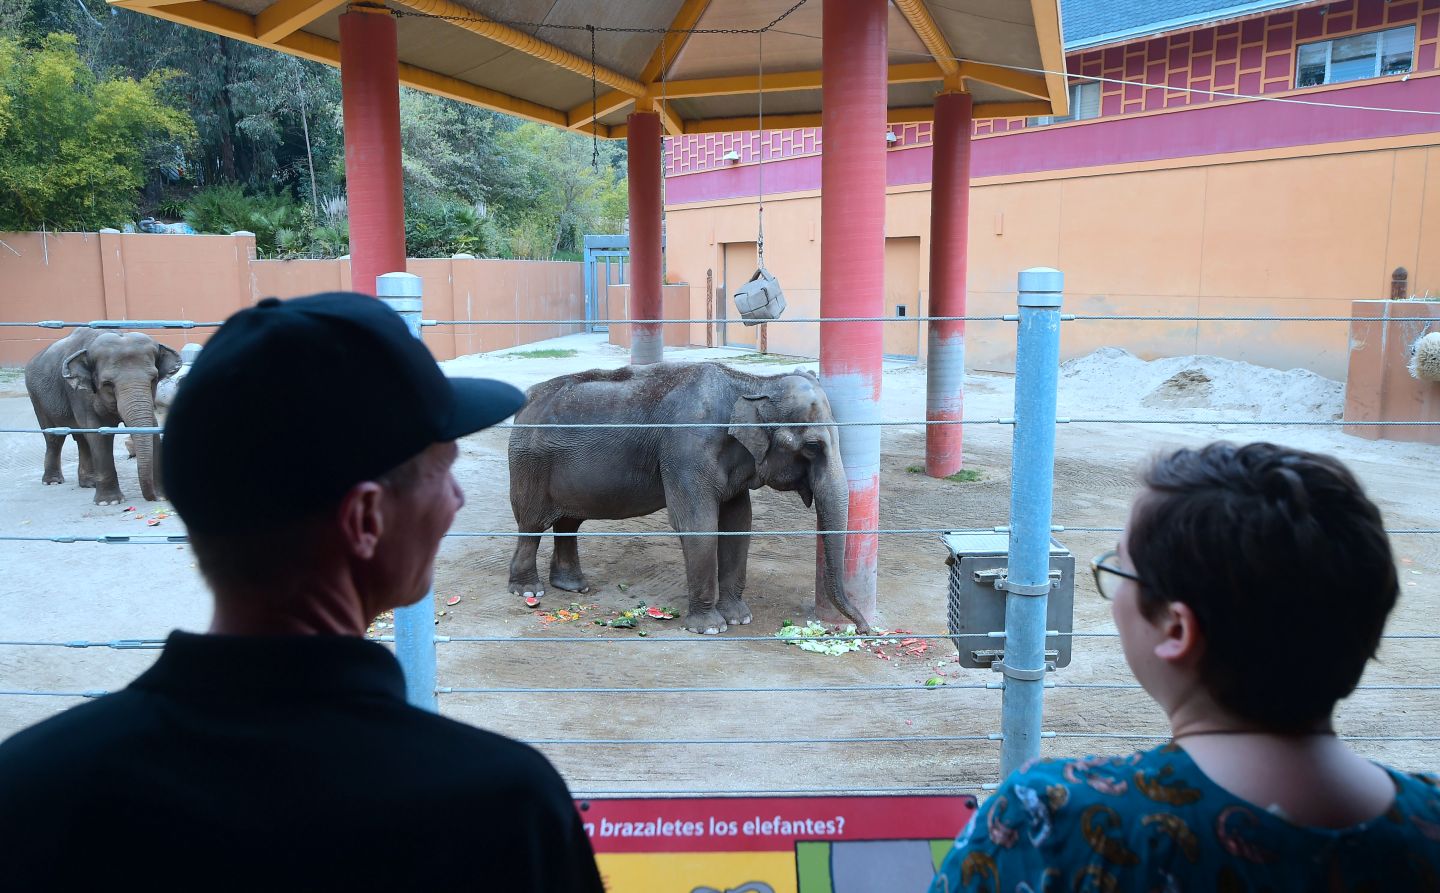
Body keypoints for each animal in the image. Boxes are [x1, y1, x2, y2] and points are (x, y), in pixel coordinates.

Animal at [25, 329, 181, 505]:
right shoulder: (80, 393)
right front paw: (109, 502)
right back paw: (52, 481)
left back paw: (89, 483)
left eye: (153, 379)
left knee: (82, 439)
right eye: (107, 384)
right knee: (54, 438)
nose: (152, 498)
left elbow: (151, 427)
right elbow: (98, 432)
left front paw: (162, 497)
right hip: (36, 397)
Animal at [507, 362, 870, 635]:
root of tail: (526, 400)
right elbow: (697, 523)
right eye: (812, 447)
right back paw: (529, 591)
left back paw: (573, 586)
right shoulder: (686, 448)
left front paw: (740, 618)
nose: (863, 630)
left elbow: (739, 522)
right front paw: (710, 627)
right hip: (529, 465)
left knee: (569, 523)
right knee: (532, 524)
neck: (752, 381)